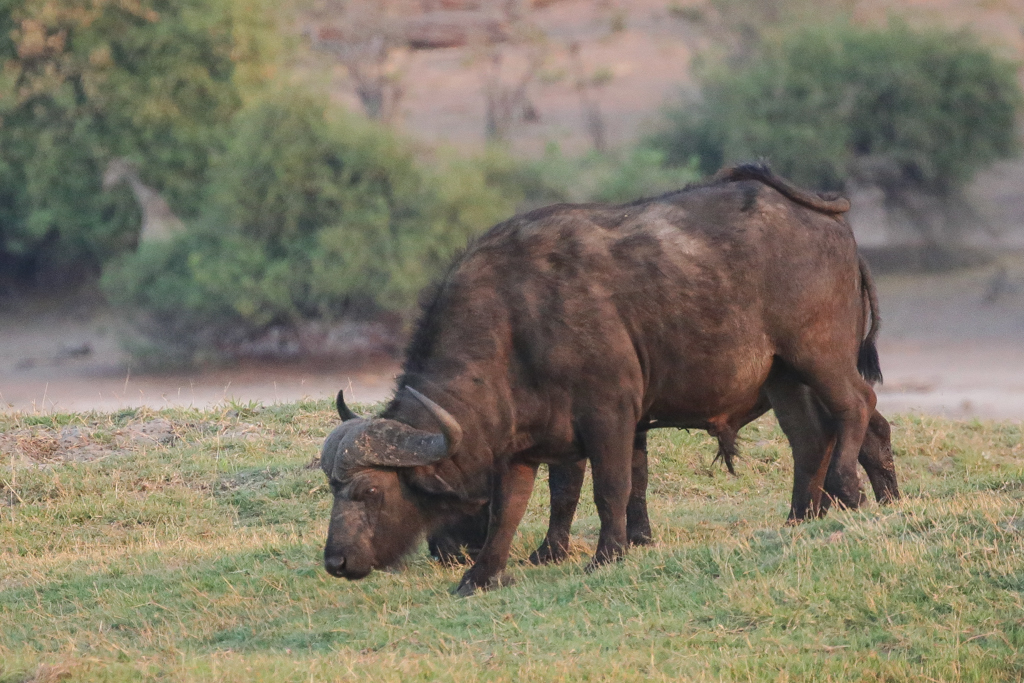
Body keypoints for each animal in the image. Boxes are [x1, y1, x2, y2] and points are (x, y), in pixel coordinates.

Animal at [321, 163, 888, 593]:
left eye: (369, 491)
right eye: (332, 489)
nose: (336, 561)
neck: (515, 322)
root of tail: (831, 223)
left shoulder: (611, 416)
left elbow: (610, 488)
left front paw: (608, 554)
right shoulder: (522, 447)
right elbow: (513, 510)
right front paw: (481, 576)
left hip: (818, 357)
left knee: (857, 408)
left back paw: (848, 491)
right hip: (782, 377)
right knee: (813, 438)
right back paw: (800, 517)